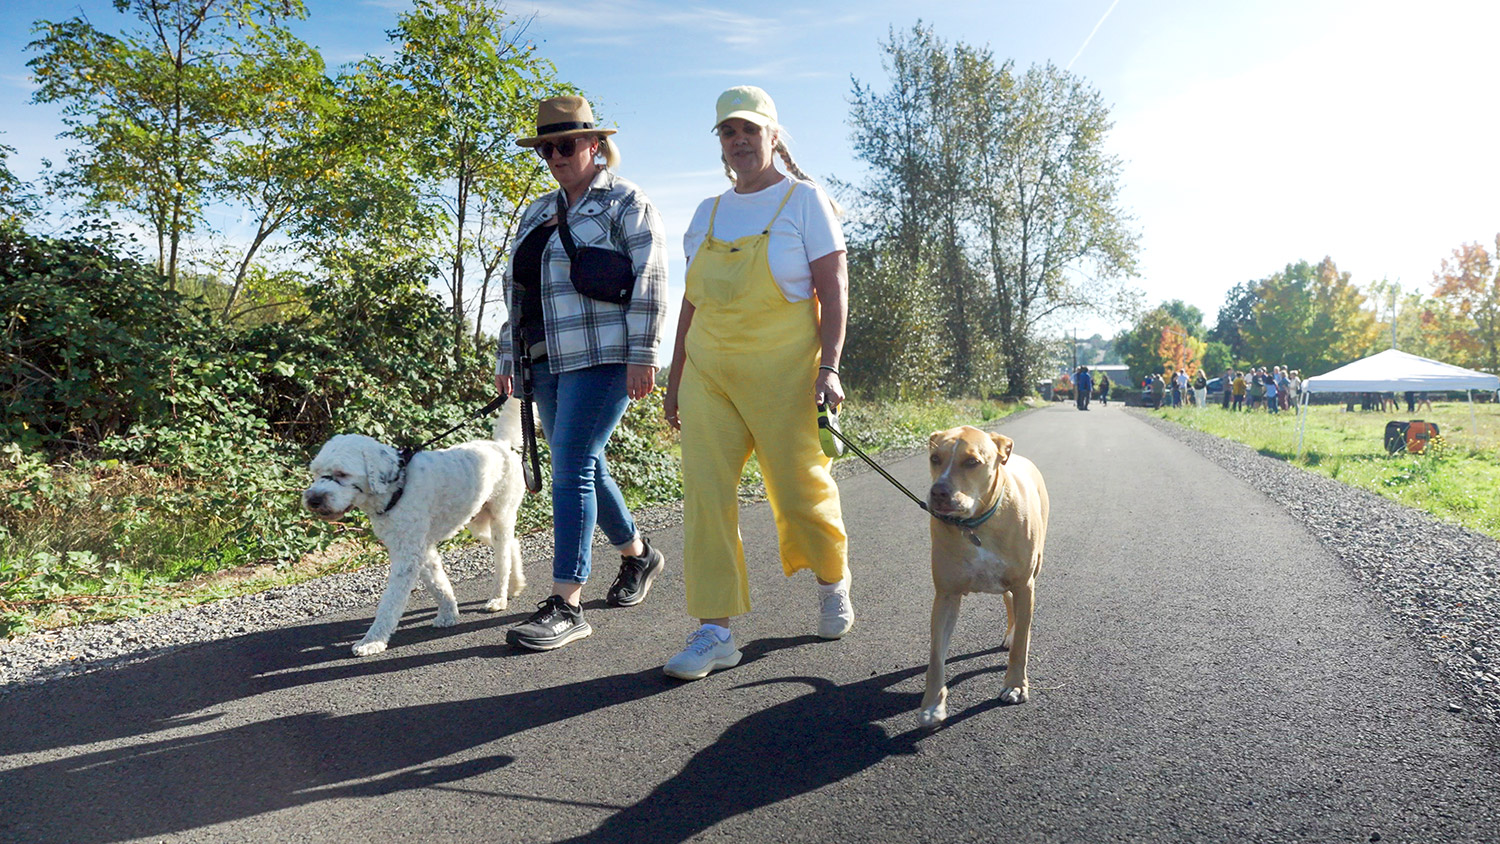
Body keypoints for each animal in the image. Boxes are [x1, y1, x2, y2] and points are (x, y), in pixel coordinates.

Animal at [298, 398, 528, 656]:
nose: (313, 500)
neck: (397, 486)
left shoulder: (407, 556)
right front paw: (448, 614)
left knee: (502, 559)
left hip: (501, 517)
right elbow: (438, 583)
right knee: (512, 544)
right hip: (477, 522)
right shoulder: (421, 549)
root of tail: (501, 446)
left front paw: (372, 641)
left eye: (341, 473)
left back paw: (498, 598)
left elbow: (390, 603)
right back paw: (515, 584)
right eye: (316, 473)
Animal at [918, 428, 1050, 725]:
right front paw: (932, 704)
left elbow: (1022, 644)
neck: (974, 525)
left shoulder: (1025, 585)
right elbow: (936, 654)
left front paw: (1015, 686)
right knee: (1009, 603)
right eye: (934, 458)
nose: (938, 492)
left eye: (972, 462)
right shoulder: (946, 595)